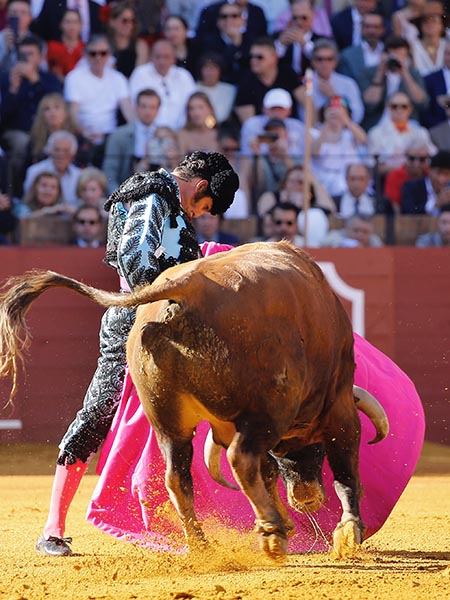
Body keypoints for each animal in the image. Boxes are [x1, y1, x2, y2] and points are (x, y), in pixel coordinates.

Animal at [0, 241, 388, 560]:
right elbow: (345, 471)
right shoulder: (337, 410)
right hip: (266, 410)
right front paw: (349, 532)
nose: (306, 500)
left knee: (177, 476)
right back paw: (272, 534)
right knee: (239, 459)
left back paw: (204, 543)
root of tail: (186, 287)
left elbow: (267, 471)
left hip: (167, 420)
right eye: (315, 450)